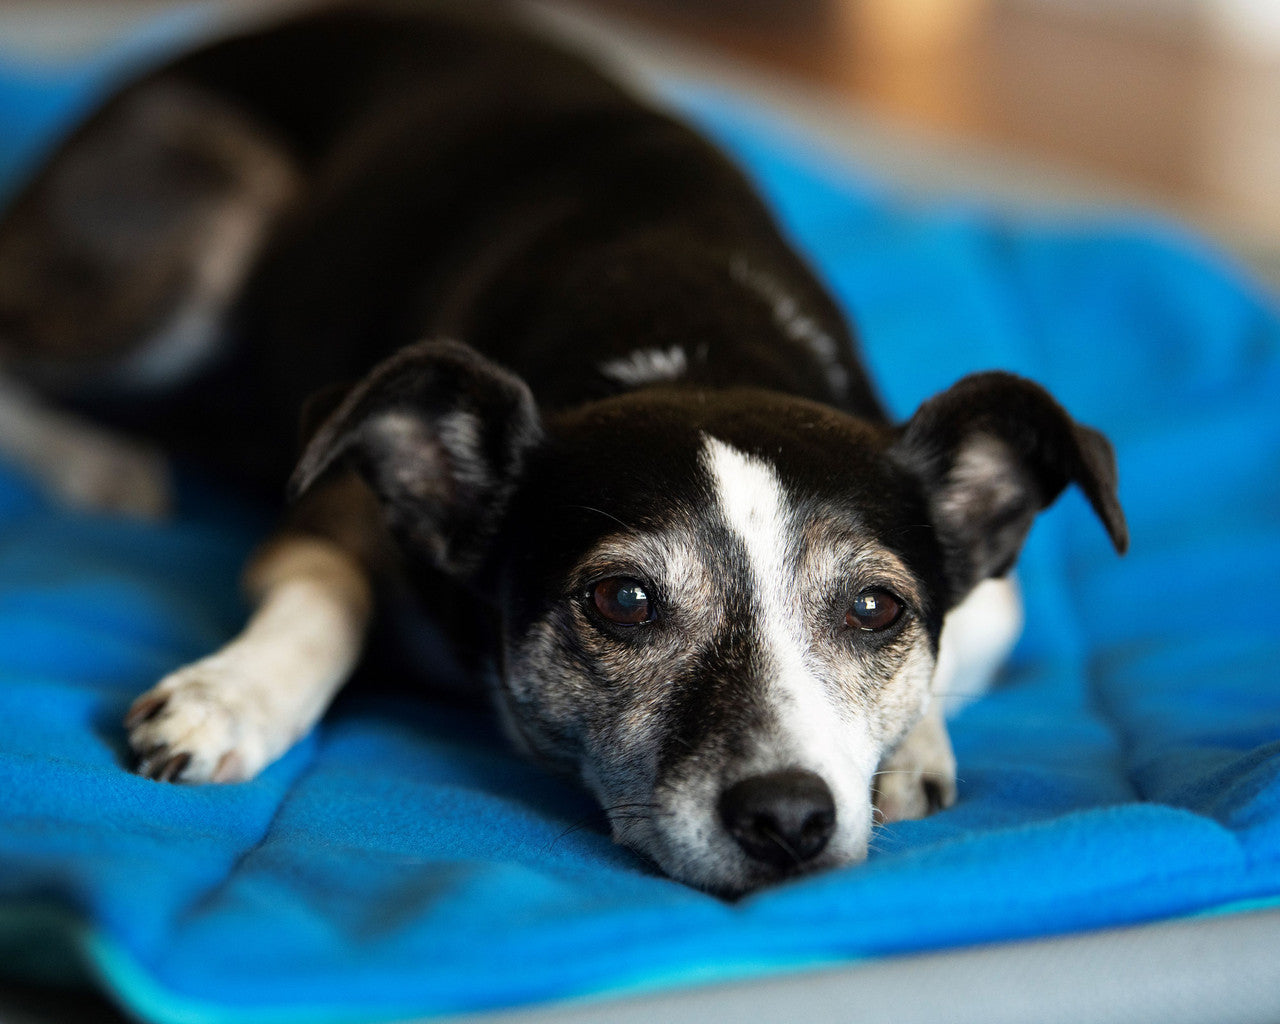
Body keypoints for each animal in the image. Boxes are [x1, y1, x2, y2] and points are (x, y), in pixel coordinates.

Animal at [0, 2, 1121, 896]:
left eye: (877, 609)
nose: (789, 820)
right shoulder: (339, 498)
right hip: (214, 218)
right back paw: (100, 464)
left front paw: (908, 751)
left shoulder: (993, 596)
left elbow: (961, 645)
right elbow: (326, 591)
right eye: (621, 601)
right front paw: (234, 696)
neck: (686, 343)